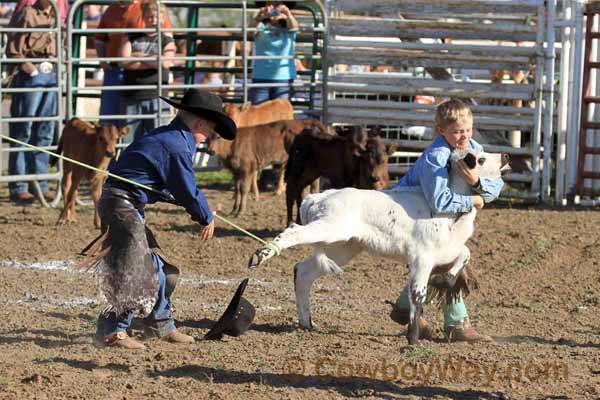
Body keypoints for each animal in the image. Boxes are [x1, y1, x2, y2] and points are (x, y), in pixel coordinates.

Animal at [250, 148, 510, 344]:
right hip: (331, 228)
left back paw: (307, 323)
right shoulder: (422, 257)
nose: (506, 156)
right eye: (480, 158)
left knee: (303, 271)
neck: (450, 212)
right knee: (294, 232)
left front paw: (446, 280)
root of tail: (319, 197)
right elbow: (418, 294)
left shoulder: (448, 250)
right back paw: (260, 256)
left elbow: (464, 255)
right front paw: (412, 338)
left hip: (341, 248)